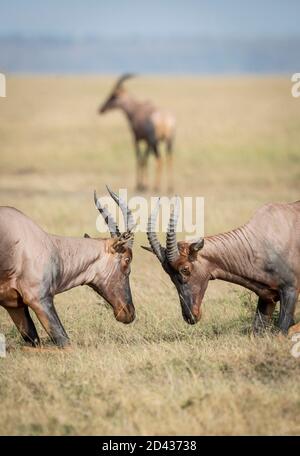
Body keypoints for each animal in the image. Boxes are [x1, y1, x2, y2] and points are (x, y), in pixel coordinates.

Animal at [142, 199, 300, 334]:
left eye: (185, 269)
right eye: (168, 273)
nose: (190, 316)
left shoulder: (290, 291)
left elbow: (281, 331)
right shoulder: (267, 297)